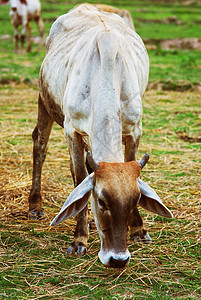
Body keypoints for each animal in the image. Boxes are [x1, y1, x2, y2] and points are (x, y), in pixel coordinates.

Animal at [28, 4, 173, 268]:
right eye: (102, 201)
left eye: (136, 200)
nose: (118, 259)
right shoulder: (71, 129)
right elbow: (79, 178)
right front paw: (79, 239)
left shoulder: (135, 128)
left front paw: (138, 228)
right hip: (44, 99)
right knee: (40, 145)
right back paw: (35, 205)